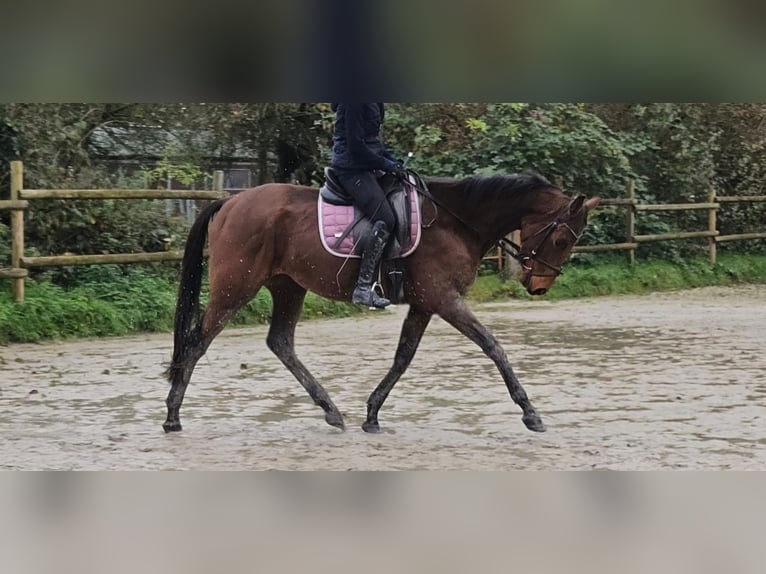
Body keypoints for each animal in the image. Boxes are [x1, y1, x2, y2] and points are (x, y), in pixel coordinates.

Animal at [165, 173, 604, 434]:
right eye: (561, 239)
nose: (539, 286)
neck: (455, 222)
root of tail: (229, 202)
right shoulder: (446, 299)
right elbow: (493, 346)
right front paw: (531, 413)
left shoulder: (425, 304)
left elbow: (403, 357)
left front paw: (372, 414)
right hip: (234, 288)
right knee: (197, 342)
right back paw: (172, 416)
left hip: (288, 287)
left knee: (280, 343)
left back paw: (331, 410)